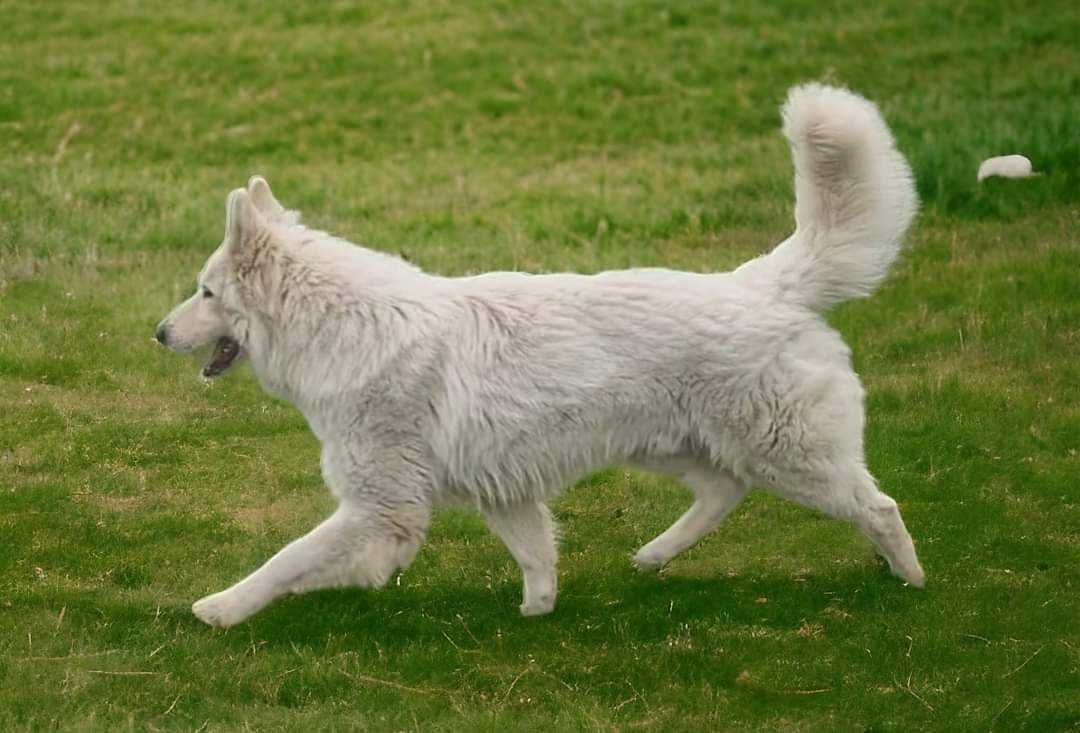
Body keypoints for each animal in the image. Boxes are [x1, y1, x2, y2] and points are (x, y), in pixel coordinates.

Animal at [156, 83, 924, 626]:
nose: (159, 333)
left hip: (788, 456)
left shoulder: (382, 510)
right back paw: (654, 554)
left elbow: (287, 560)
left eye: (205, 291)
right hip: (672, 445)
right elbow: (537, 558)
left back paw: (909, 577)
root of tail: (762, 282)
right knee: (725, 490)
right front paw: (537, 610)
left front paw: (219, 609)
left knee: (878, 505)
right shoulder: (502, 491)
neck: (347, 328)